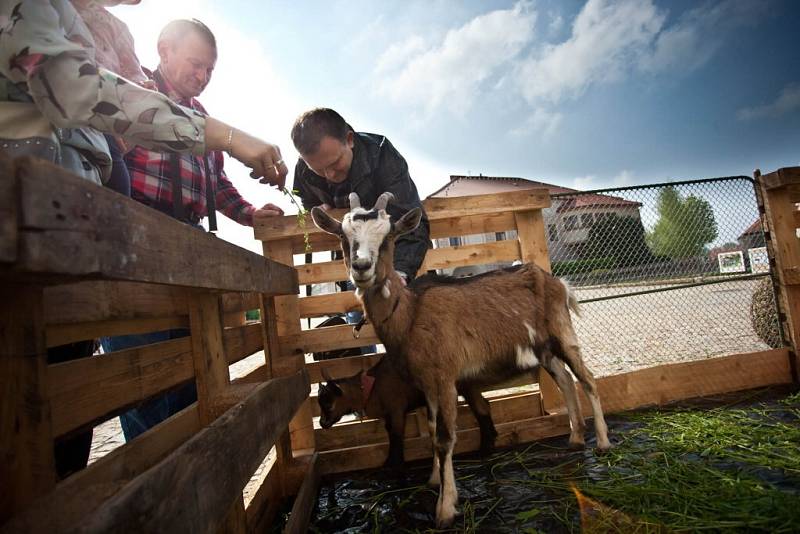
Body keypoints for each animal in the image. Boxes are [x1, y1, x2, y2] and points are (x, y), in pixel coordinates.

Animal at [310, 192, 608, 528]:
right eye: (343, 237)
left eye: (388, 237)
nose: (361, 267)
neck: (410, 315)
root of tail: (557, 282)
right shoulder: (426, 384)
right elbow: (430, 430)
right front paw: (433, 481)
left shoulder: (445, 378)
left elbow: (444, 437)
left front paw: (445, 508)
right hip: (542, 347)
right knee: (566, 379)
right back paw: (575, 438)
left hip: (562, 331)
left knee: (587, 378)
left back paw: (603, 443)